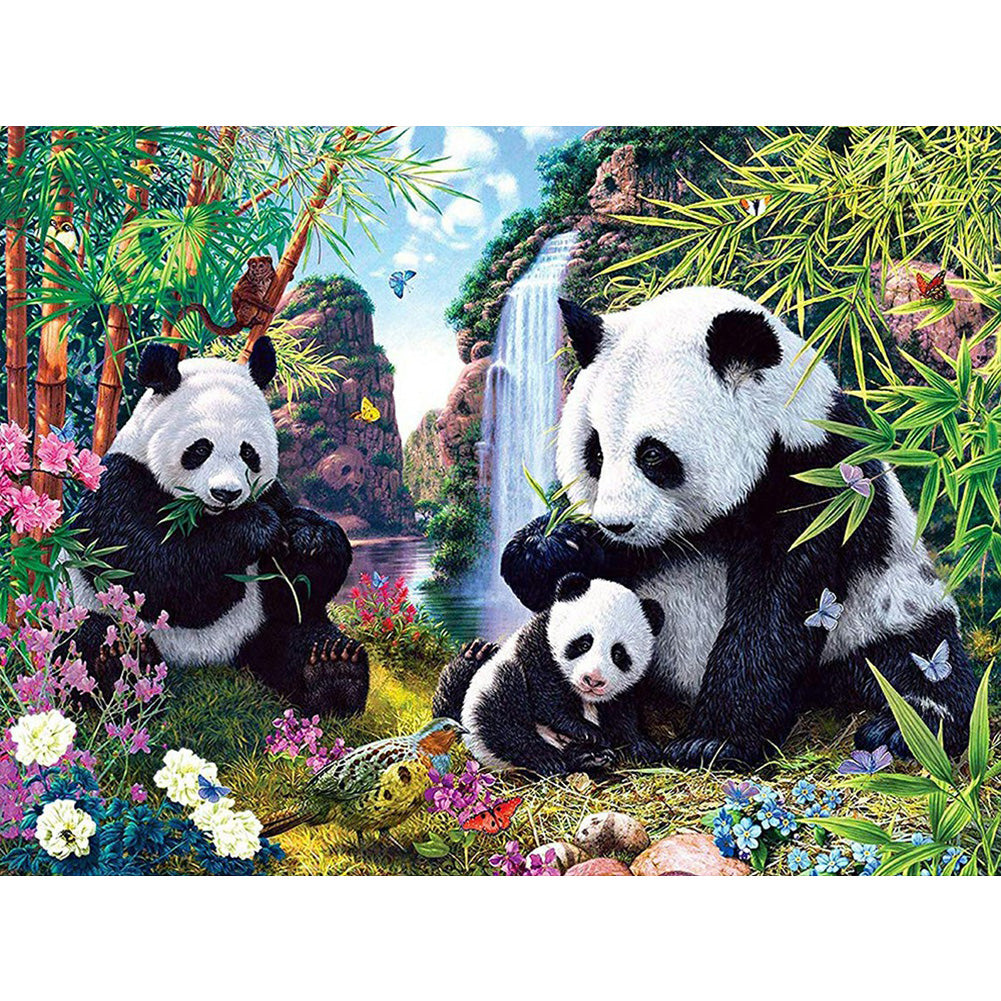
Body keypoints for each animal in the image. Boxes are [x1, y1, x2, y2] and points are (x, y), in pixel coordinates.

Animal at [67, 338, 368, 716]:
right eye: (200, 449)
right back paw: (117, 666)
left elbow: (299, 589)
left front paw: (311, 537)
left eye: (248, 452)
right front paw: (255, 528)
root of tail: (215, 660)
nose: (227, 493)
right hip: (87, 611)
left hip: (258, 625)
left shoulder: (271, 492)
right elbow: (155, 572)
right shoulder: (117, 487)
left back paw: (332, 673)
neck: (206, 516)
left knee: (295, 632)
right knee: (88, 640)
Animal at [432, 574, 664, 775]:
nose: (593, 680)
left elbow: (622, 713)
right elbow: (547, 696)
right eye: (584, 643)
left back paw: (588, 757)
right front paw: (587, 731)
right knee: (501, 714)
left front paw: (642, 746)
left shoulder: (622, 690)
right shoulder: (538, 644)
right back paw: (547, 758)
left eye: (618, 653)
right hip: (491, 687)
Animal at [500, 287, 977, 767]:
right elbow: (571, 585)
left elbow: (777, 602)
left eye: (652, 455)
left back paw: (905, 726)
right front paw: (550, 546)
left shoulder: (819, 480)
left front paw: (712, 742)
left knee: (917, 661)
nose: (617, 523)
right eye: (595, 451)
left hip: (888, 605)